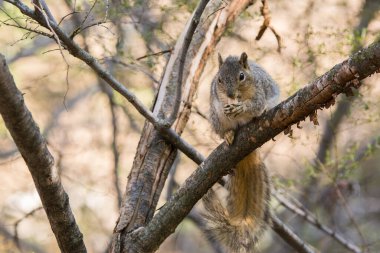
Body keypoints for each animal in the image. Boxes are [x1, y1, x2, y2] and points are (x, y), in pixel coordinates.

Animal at [202, 52, 280, 252]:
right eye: (219, 79)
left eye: (241, 76)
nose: (230, 94)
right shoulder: (218, 101)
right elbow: (224, 106)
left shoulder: (260, 91)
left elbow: (256, 104)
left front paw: (243, 107)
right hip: (216, 119)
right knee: (224, 128)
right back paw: (229, 135)